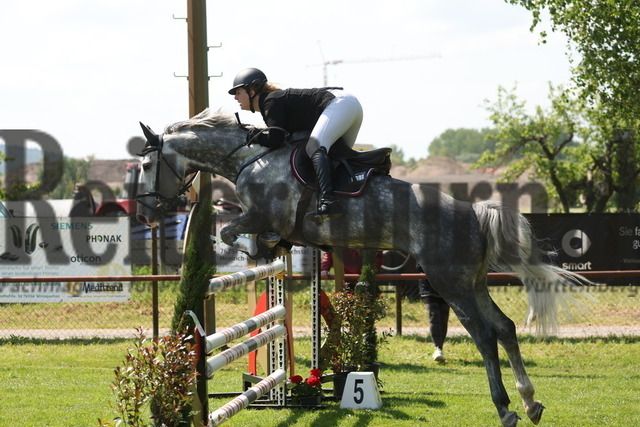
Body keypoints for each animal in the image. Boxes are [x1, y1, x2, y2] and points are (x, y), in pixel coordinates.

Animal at [135, 108, 592, 426]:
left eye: (144, 165)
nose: (146, 215)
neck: (250, 159)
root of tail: (475, 213)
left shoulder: (260, 216)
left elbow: (232, 231)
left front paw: (255, 249)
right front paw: (265, 250)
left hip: (450, 282)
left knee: (484, 335)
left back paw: (506, 409)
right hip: (474, 282)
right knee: (505, 328)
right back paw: (530, 401)